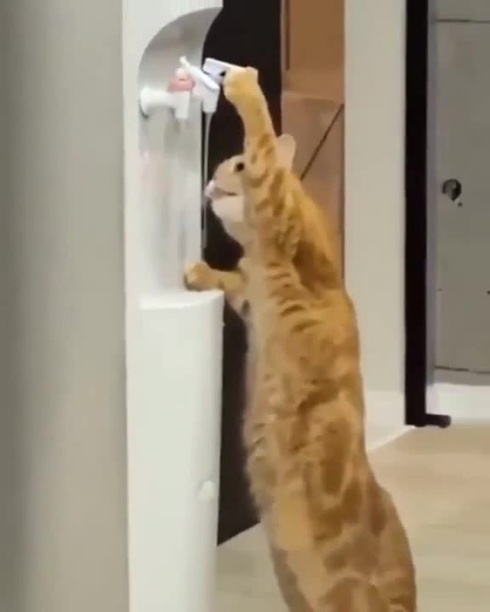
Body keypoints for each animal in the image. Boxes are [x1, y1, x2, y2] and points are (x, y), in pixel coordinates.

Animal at [186, 68, 416, 611]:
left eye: (236, 163)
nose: (210, 182)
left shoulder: (276, 205)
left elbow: (263, 135)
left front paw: (242, 83)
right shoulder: (251, 296)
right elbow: (233, 284)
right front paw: (204, 272)